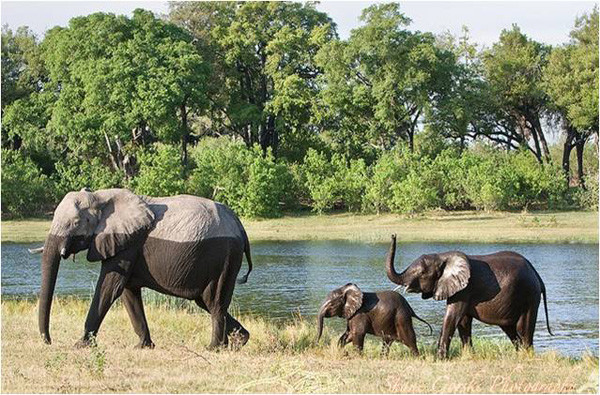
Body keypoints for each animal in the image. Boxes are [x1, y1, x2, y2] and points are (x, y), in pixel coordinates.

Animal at [37, 189, 253, 350]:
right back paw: (239, 341)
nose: (48, 341)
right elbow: (127, 291)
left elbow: (109, 288)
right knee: (205, 301)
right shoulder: (125, 244)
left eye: (75, 223)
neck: (100, 197)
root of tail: (240, 226)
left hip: (224, 256)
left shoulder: (127, 243)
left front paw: (80, 345)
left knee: (214, 302)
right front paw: (143, 346)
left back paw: (214, 348)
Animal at [386, 235, 552, 358]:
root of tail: (536, 273)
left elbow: (452, 317)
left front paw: (439, 359)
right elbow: (463, 322)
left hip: (529, 295)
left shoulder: (464, 290)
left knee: (523, 328)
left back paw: (527, 357)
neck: (443, 256)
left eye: (421, 273)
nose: (393, 235)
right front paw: (469, 356)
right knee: (510, 330)